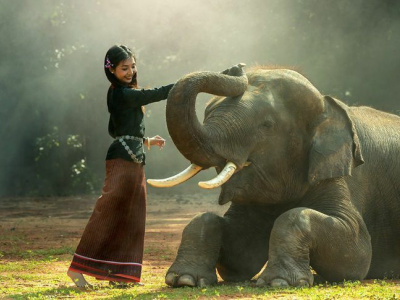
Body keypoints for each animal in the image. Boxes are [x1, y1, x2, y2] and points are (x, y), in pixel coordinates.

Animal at [147, 64, 400, 288]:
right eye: (207, 113)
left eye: (266, 125)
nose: (236, 67)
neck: (327, 105)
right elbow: (239, 256)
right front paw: (184, 280)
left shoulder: (338, 173)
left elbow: (357, 254)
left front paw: (279, 282)